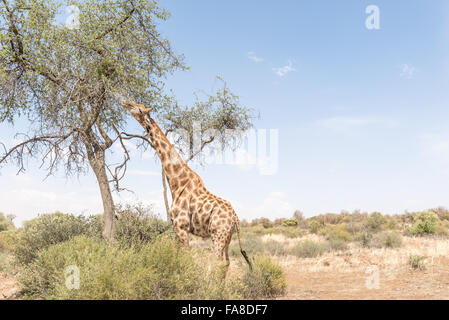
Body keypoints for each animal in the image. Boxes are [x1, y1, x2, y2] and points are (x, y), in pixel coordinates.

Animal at [122, 100, 252, 272]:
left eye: (139, 109)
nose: (125, 102)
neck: (177, 183)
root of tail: (235, 218)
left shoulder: (181, 226)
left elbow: (186, 258)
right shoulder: (177, 228)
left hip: (218, 235)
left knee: (219, 262)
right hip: (227, 237)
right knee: (226, 263)